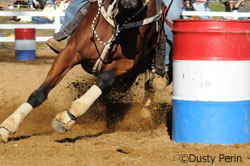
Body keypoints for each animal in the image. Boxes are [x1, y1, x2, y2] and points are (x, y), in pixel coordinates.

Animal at [0, 0, 163, 143]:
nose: (130, 2)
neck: (120, 19)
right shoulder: (70, 53)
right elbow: (39, 94)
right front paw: (8, 125)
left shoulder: (127, 64)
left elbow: (105, 79)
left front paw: (68, 117)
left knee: (149, 84)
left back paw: (145, 113)